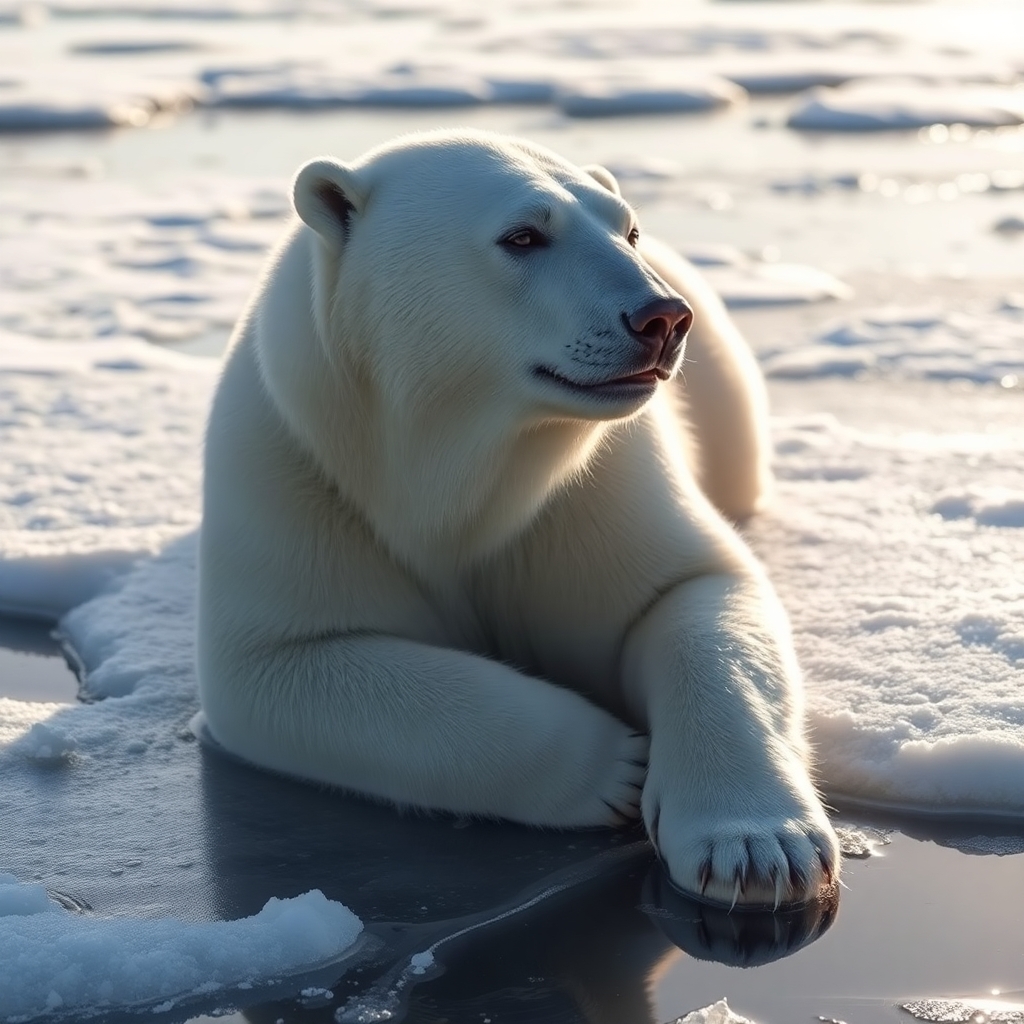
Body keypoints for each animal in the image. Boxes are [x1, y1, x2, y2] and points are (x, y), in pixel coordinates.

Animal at [196, 128, 840, 910]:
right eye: (524, 235)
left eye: (627, 228)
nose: (661, 317)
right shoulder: (294, 470)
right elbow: (280, 663)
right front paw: (618, 765)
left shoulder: (596, 488)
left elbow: (696, 593)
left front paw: (759, 850)